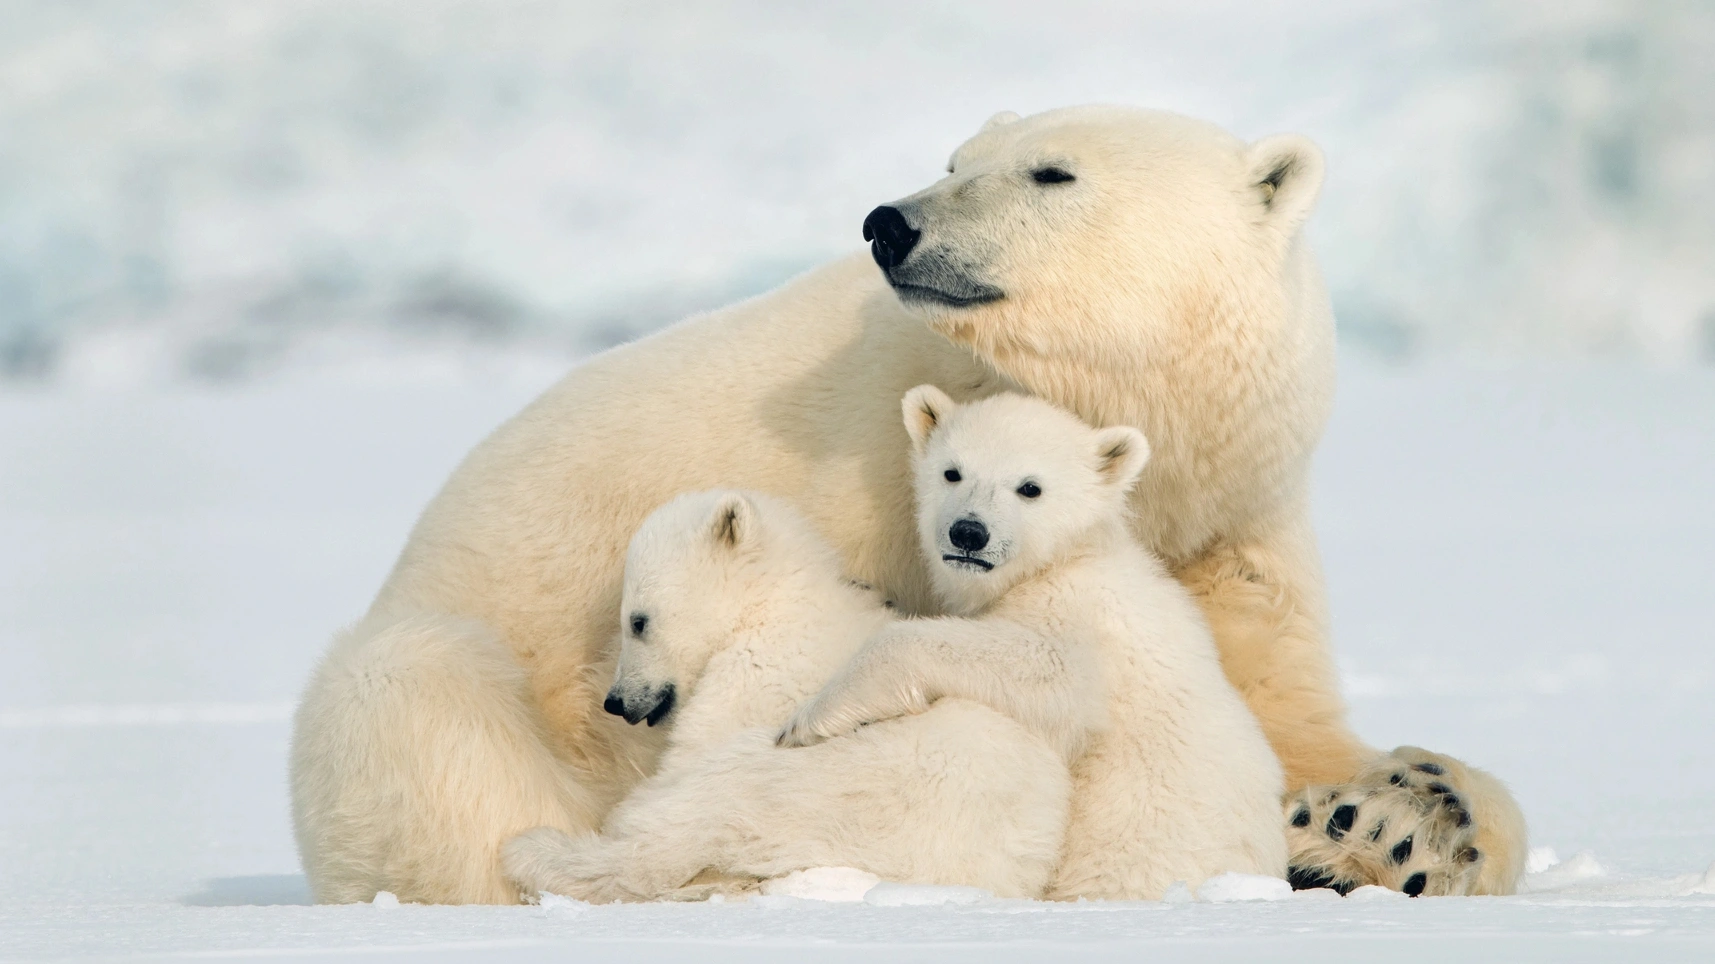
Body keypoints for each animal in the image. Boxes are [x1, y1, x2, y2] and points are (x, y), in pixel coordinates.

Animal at [500, 487, 1077, 898]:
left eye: (637, 621)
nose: (615, 702)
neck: (773, 603)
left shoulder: (760, 675)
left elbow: (695, 753)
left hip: (830, 783)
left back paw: (532, 851)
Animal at [778, 385, 1289, 898]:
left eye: (1030, 487)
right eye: (952, 471)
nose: (968, 533)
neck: (1063, 559)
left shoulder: (1080, 619)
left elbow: (1053, 672)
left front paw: (807, 720)